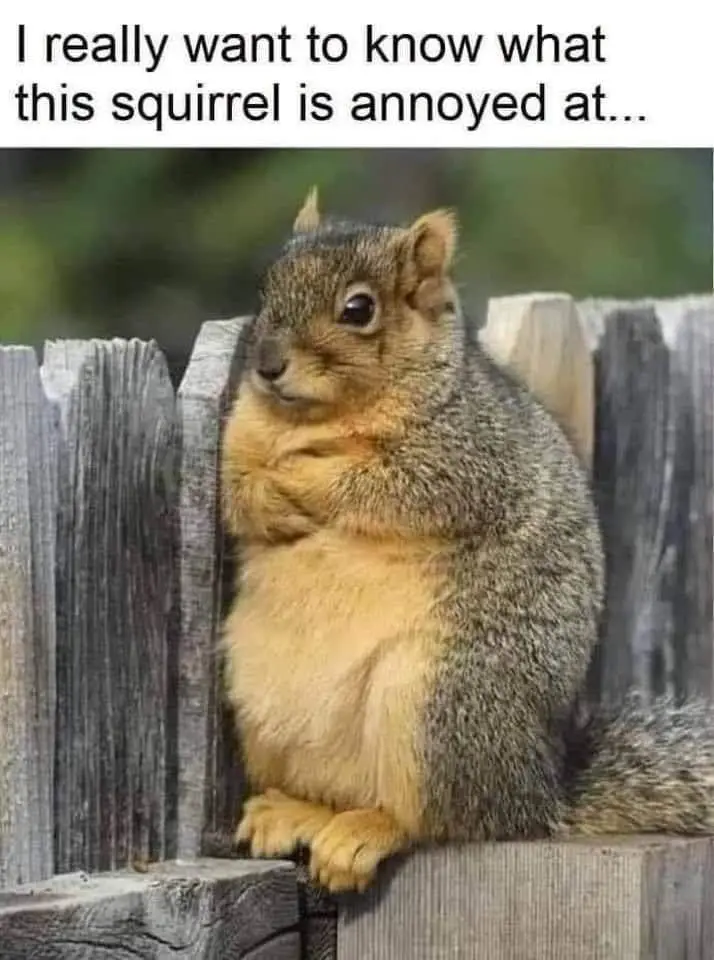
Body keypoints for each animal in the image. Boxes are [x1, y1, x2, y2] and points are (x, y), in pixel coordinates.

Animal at [219, 188, 714, 894]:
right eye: (267, 285)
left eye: (358, 309)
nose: (265, 366)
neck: (316, 419)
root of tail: (539, 795)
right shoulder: (237, 437)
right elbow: (235, 491)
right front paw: (269, 495)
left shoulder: (466, 455)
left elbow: (384, 484)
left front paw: (303, 476)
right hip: (261, 706)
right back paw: (295, 811)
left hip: (436, 704)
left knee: (441, 820)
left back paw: (367, 832)